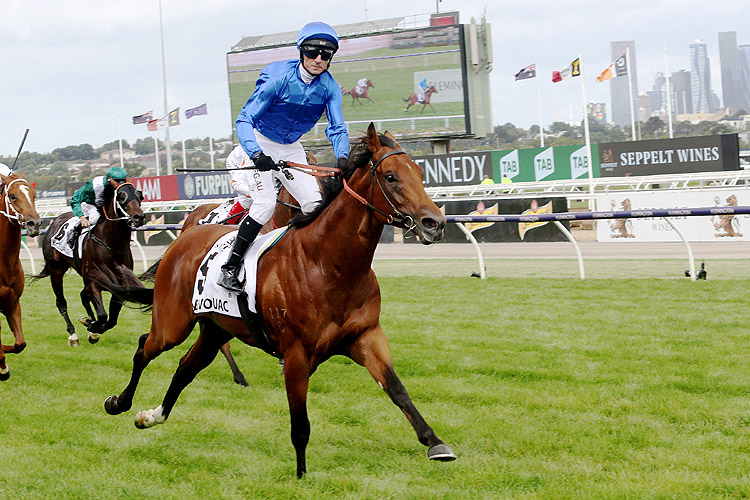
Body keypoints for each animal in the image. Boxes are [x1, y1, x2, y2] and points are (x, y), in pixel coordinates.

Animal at [33, 181, 145, 348]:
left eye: (139, 195)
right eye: (121, 197)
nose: (139, 216)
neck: (112, 244)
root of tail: (55, 222)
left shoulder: (119, 286)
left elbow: (111, 320)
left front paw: (92, 326)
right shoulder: (93, 282)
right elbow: (103, 315)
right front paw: (91, 325)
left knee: (83, 296)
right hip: (56, 271)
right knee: (61, 302)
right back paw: (73, 334)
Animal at [102, 124, 456, 476]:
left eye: (419, 173)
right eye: (390, 176)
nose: (435, 223)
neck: (328, 263)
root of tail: (184, 237)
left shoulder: (366, 335)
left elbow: (397, 389)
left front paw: (435, 442)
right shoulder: (297, 355)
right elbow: (300, 425)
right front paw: (300, 477)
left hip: (215, 328)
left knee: (185, 368)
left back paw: (152, 415)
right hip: (172, 324)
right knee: (144, 347)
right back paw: (119, 402)